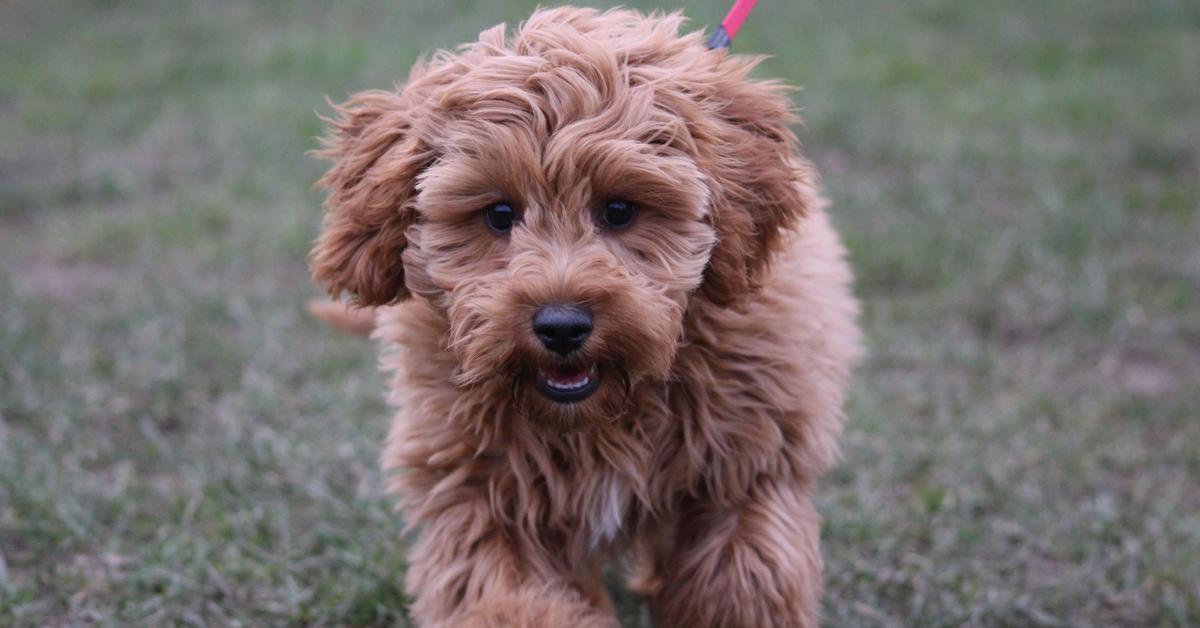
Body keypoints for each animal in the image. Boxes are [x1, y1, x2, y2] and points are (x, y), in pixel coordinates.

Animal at [307, 6, 854, 628]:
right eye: (499, 213)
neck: (603, 415)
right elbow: (507, 596)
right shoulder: (483, 496)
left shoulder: (751, 464)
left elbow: (740, 582)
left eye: (619, 209)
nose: (562, 326)